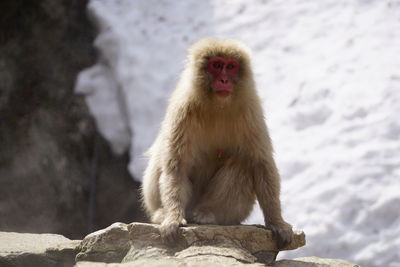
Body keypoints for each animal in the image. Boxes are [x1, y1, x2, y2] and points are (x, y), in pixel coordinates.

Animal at [142, 37, 292, 249]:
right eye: (217, 65)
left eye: (231, 66)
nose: (224, 80)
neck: (217, 105)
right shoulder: (183, 110)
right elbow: (176, 165)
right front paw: (172, 217)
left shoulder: (250, 110)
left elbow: (261, 163)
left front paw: (277, 222)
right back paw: (162, 213)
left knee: (242, 161)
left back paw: (208, 213)